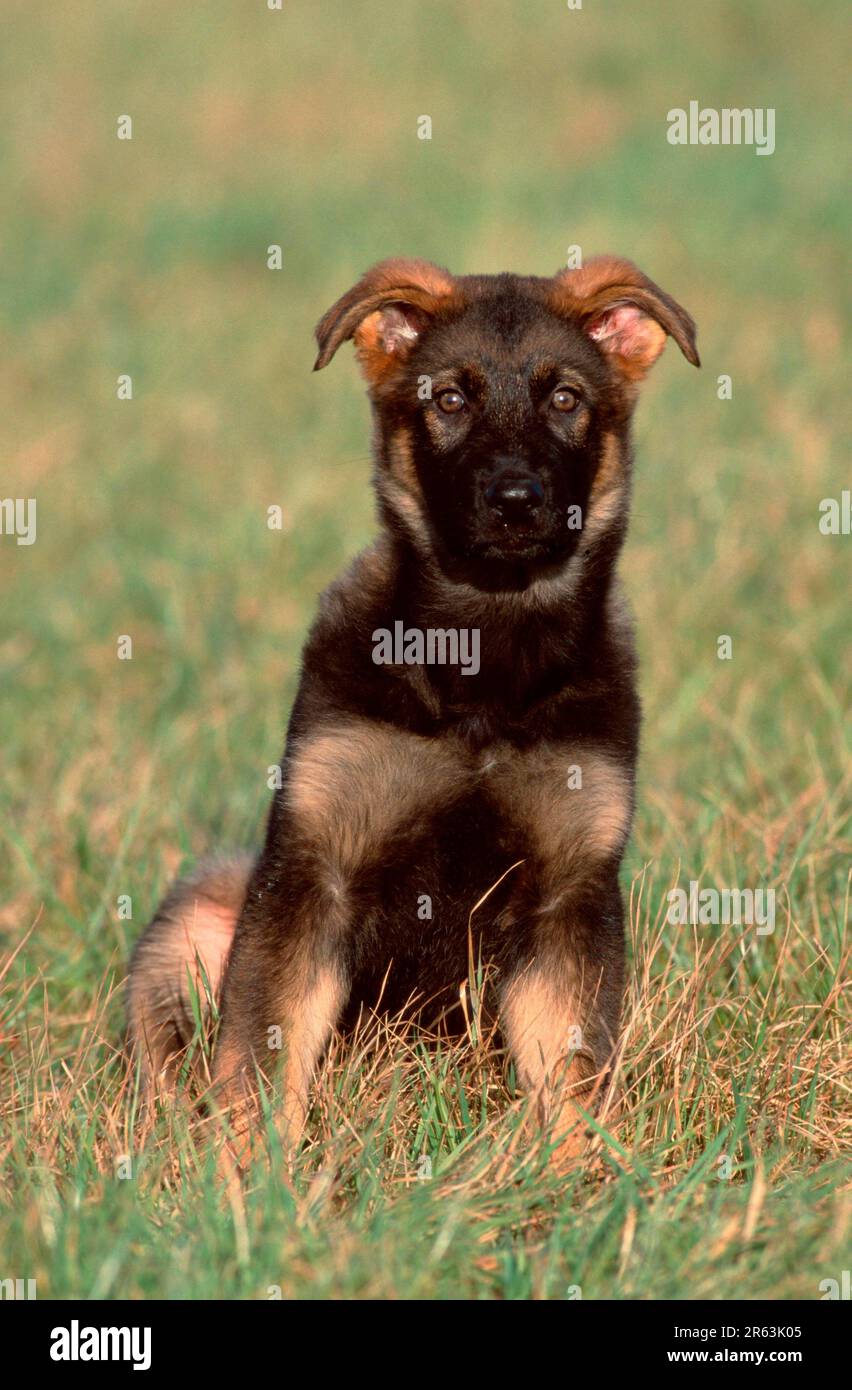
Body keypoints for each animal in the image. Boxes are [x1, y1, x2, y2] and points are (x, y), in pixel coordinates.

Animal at [126, 252, 697, 1162]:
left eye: (566, 400)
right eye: (450, 400)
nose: (514, 500)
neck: (483, 660)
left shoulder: (570, 894)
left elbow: (572, 1080)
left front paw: (579, 1181)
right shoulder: (312, 869)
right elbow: (262, 1055)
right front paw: (251, 1180)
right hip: (201, 910)